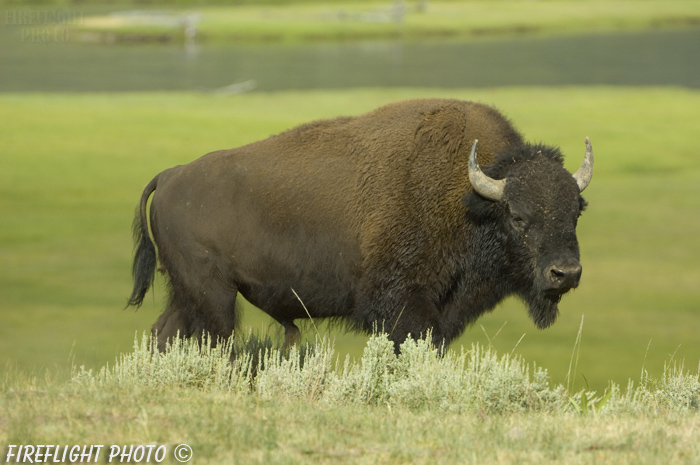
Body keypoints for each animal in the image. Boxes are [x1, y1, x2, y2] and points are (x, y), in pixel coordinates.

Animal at [126, 99, 592, 352]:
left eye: (576, 212)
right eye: (518, 216)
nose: (565, 273)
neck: (469, 198)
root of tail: (170, 175)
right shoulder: (403, 306)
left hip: (187, 293)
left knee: (165, 334)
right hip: (213, 294)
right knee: (213, 338)